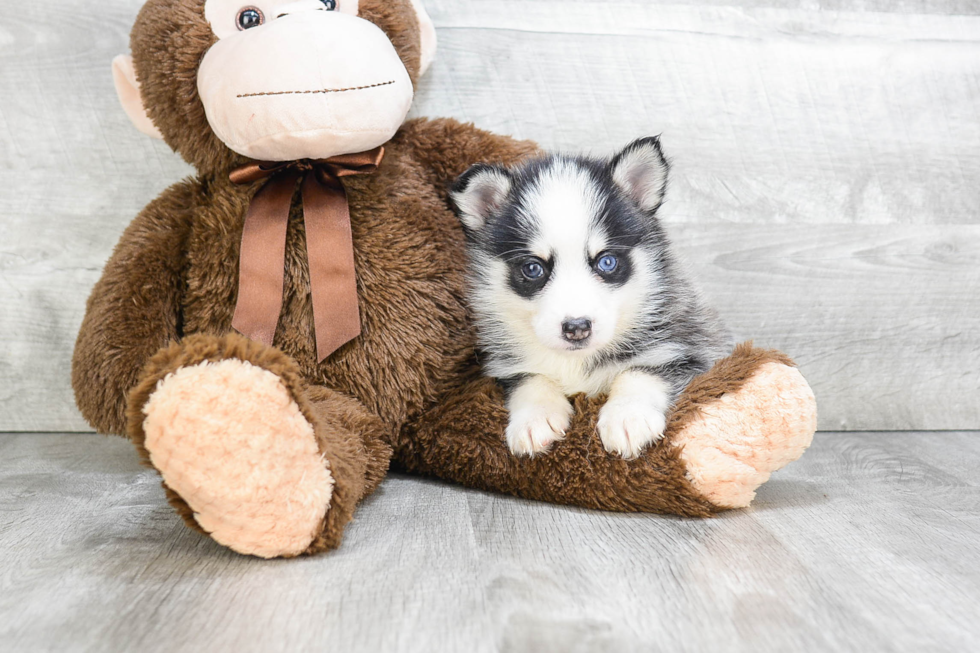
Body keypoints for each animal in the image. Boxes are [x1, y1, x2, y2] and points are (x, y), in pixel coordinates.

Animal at [448, 136, 732, 458]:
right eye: (533, 268)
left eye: (606, 262)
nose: (577, 328)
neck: (577, 362)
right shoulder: (505, 367)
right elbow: (531, 378)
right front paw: (535, 419)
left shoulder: (692, 347)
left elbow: (641, 371)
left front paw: (627, 417)